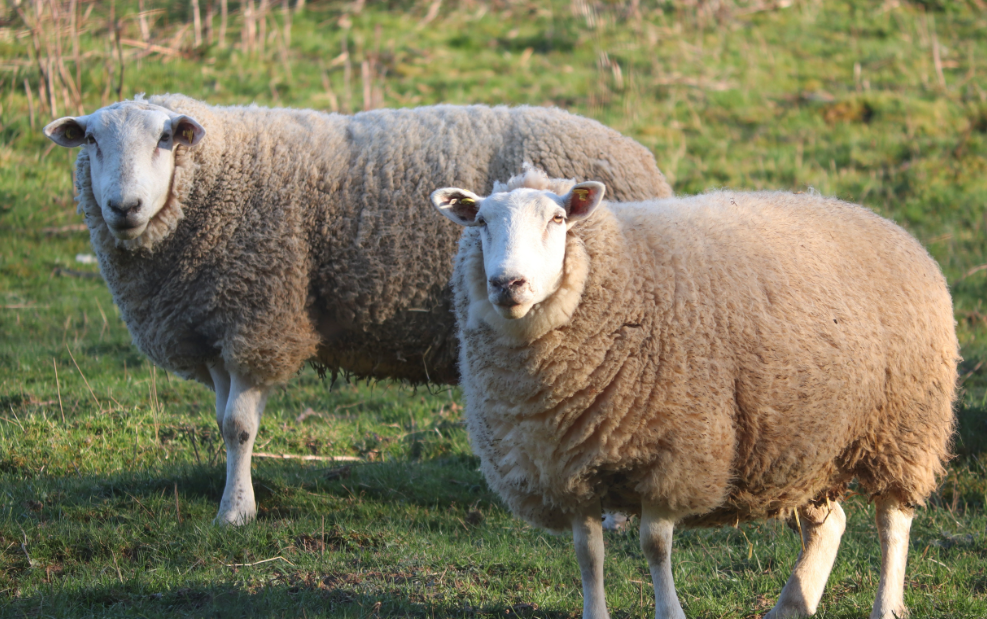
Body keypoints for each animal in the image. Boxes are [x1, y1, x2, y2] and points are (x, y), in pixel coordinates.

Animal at [42, 94, 676, 524]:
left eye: (165, 140)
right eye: (92, 142)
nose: (124, 206)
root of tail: (644, 159)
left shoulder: (259, 317)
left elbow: (241, 426)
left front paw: (237, 513)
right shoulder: (218, 323)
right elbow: (224, 423)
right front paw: (232, 497)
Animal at [432, 166, 956, 619]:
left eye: (557, 220)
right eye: (481, 222)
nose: (508, 283)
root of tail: (885, 223)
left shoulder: (672, 455)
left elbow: (654, 545)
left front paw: (671, 612)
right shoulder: (566, 469)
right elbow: (587, 553)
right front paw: (594, 613)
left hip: (904, 424)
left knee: (892, 522)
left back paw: (886, 606)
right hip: (808, 440)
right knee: (830, 524)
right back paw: (792, 604)